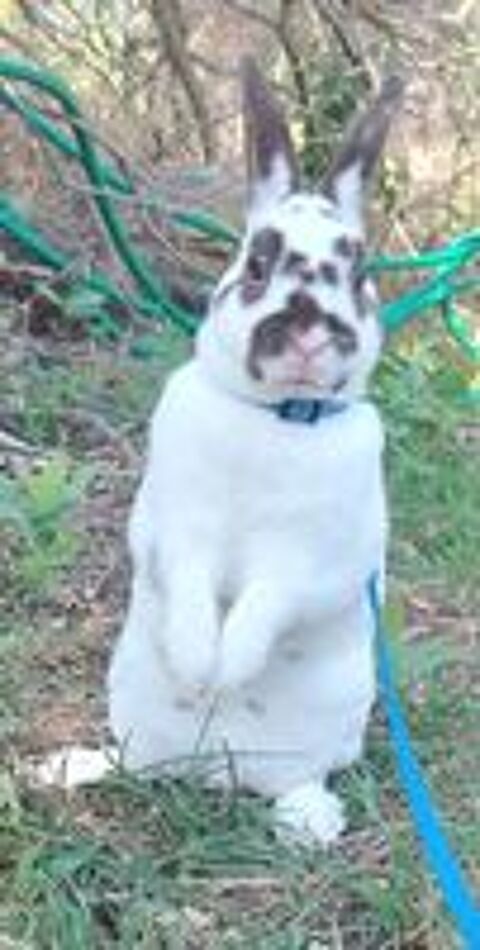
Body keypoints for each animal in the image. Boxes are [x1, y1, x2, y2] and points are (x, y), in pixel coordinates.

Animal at [108, 61, 403, 845]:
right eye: (257, 266)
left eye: (357, 274)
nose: (307, 330)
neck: (279, 418)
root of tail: (215, 771)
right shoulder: (175, 534)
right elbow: (188, 588)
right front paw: (196, 661)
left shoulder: (313, 564)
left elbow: (268, 601)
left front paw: (229, 669)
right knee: (125, 766)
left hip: (321, 740)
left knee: (299, 780)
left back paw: (310, 822)